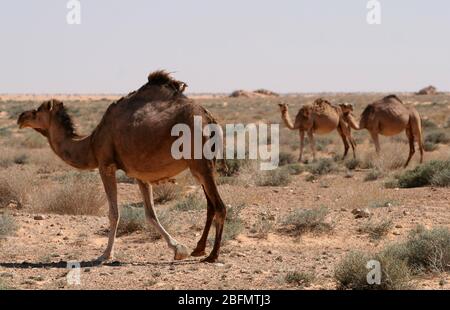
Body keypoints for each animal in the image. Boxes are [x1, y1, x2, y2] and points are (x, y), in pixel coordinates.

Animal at [16, 71, 229, 262]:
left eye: (38, 110)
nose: (21, 117)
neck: (91, 143)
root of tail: (210, 120)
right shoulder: (140, 175)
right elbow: (150, 214)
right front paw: (179, 249)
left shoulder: (106, 165)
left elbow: (114, 213)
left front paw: (105, 255)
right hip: (199, 166)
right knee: (210, 205)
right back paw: (199, 249)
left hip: (200, 162)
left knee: (220, 205)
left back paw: (212, 255)